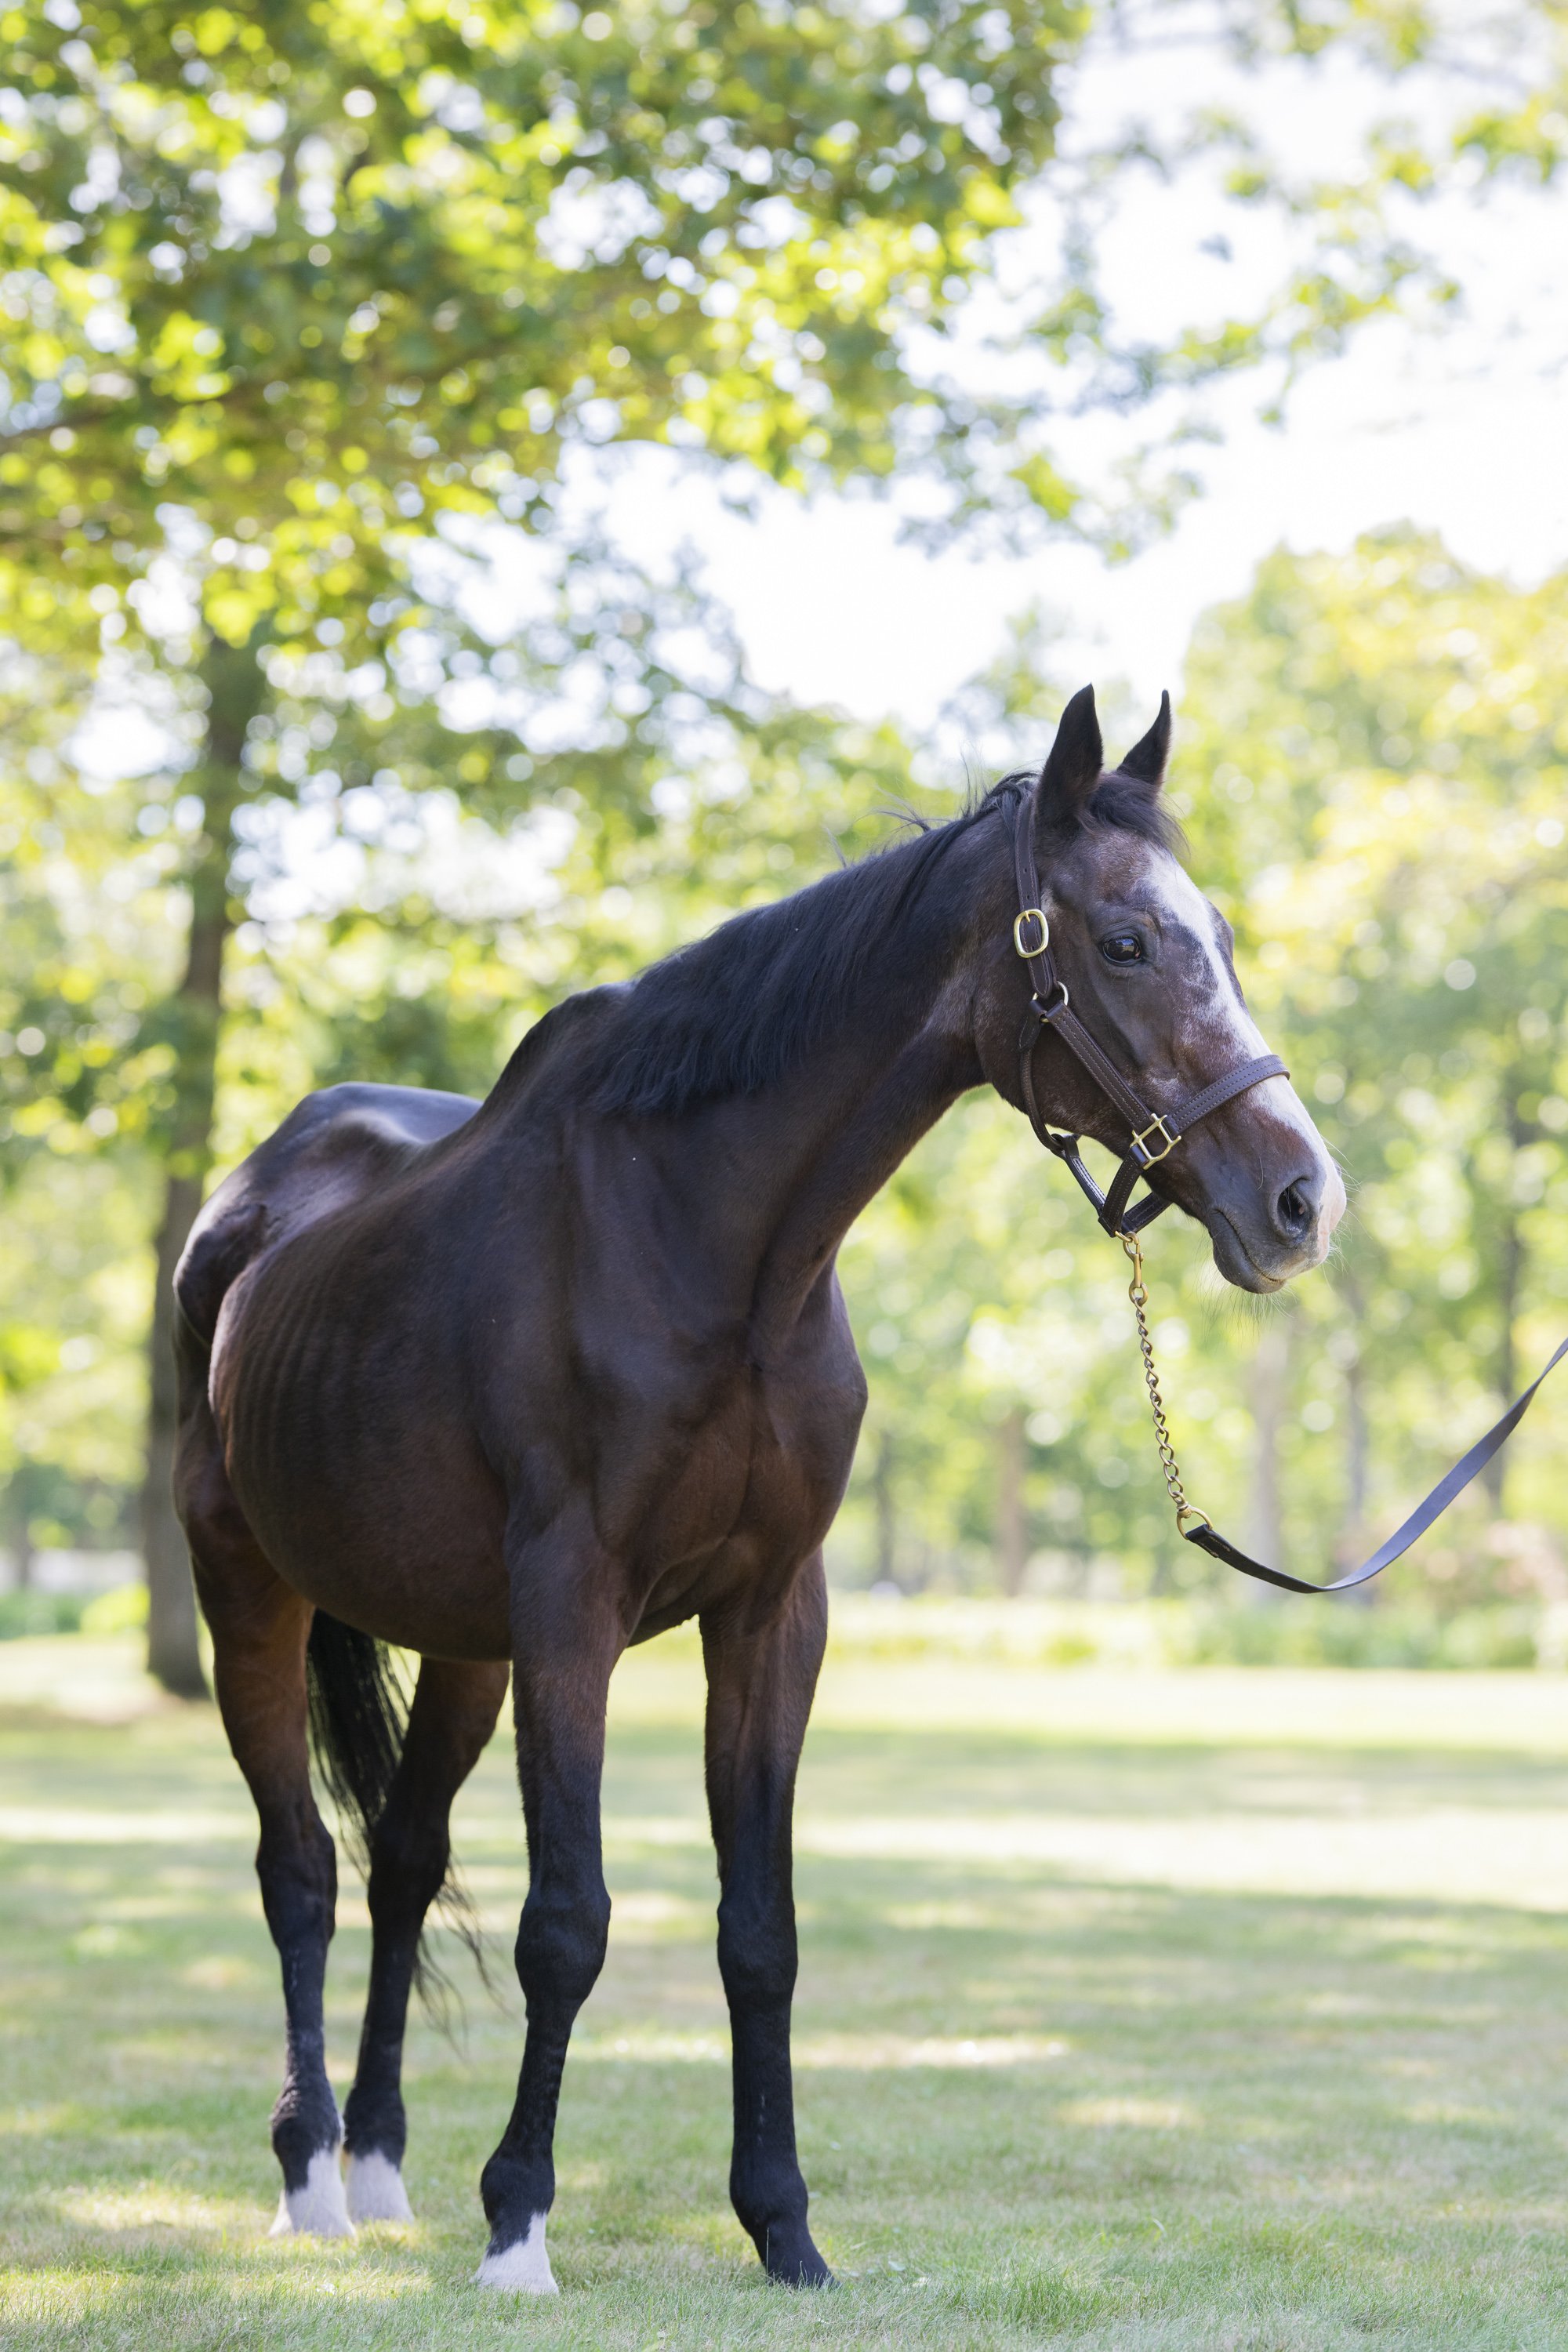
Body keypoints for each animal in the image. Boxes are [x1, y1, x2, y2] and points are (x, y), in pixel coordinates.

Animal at [171, 684, 1343, 2292]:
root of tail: (250, 1198)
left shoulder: (773, 1613)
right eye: (1122, 942)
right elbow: (567, 1923)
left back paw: (381, 2160)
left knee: (403, 1861)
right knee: (299, 1870)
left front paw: (784, 2228)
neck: (708, 1244)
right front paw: (519, 2226)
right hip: (249, 1590)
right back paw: (309, 2177)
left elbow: (759, 1932)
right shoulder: (573, 1612)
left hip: (464, 1645)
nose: (1302, 1201)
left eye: (1212, 931)